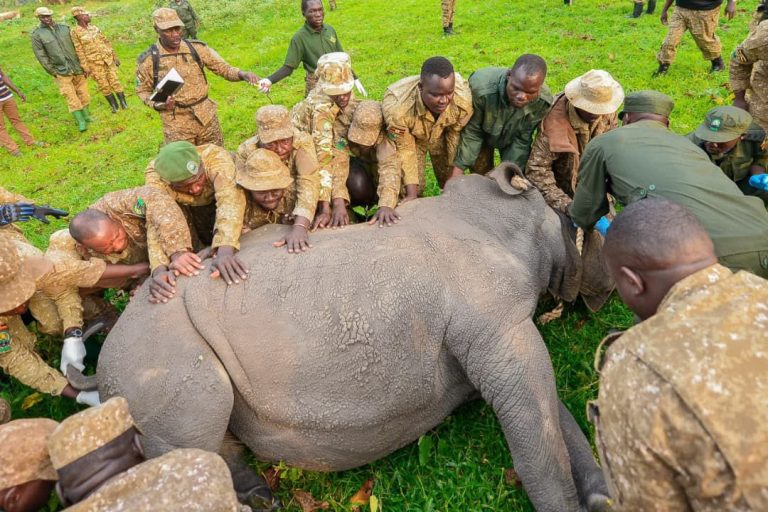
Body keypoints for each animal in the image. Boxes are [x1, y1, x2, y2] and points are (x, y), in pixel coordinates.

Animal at [96, 164, 613, 511]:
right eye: (572, 223)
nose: (600, 289)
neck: (502, 220)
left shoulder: (504, 335)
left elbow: (550, 412)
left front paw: (602, 495)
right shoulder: (496, 328)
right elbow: (539, 441)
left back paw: (260, 495)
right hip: (150, 349)